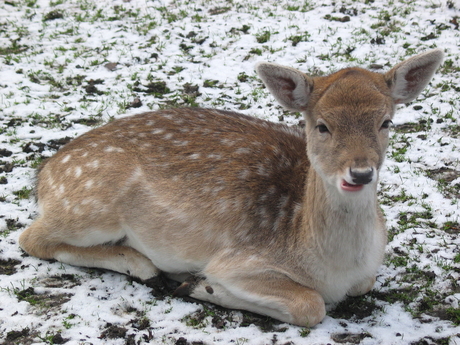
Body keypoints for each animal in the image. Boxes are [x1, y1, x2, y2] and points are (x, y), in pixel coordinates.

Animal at [19, 48, 444, 326]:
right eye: (321, 125)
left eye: (386, 122)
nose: (359, 173)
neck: (332, 267)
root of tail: (45, 174)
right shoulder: (238, 259)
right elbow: (311, 306)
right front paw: (200, 287)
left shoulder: (366, 272)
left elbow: (362, 285)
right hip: (92, 204)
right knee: (31, 238)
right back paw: (141, 264)